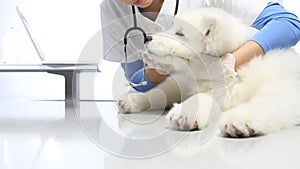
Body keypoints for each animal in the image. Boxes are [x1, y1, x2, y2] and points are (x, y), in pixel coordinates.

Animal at [117, 7, 300, 138]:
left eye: (179, 33)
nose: (147, 38)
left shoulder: (283, 87)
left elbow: (265, 102)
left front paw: (238, 121)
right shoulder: (198, 86)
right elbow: (176, 95)